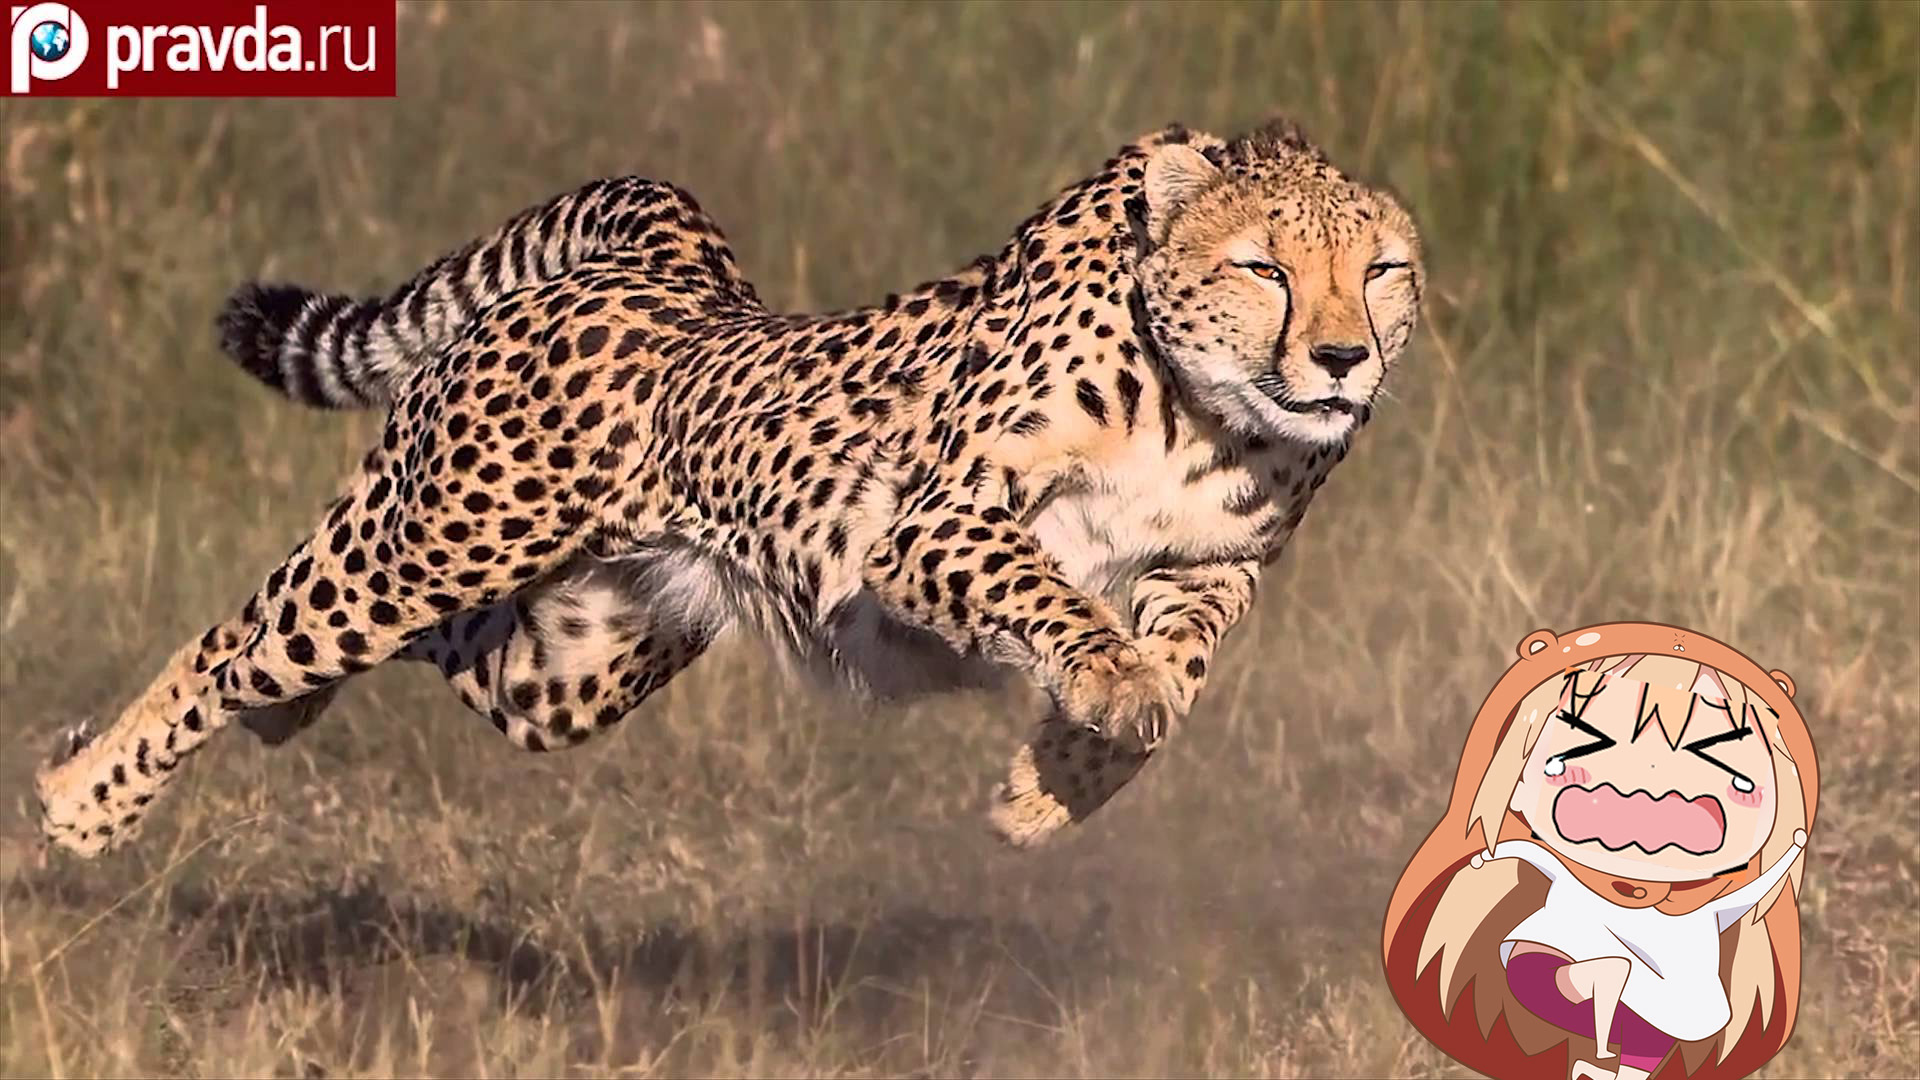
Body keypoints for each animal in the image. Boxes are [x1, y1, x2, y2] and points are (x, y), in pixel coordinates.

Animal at [33, 116, 1422, 858]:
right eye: (1264, 267)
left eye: (1383, 270)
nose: (1342, 357)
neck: (1205, 411)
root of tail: (670, 271)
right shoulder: (933, 523)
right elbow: (1052, 594)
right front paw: (1101, 691)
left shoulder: (1210, 566)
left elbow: (1179, 674)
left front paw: (1054, 788)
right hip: (427, 541)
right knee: (236, 639)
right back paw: (82, 800)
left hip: (573, 667)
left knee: (409, 653)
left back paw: (277, 724)